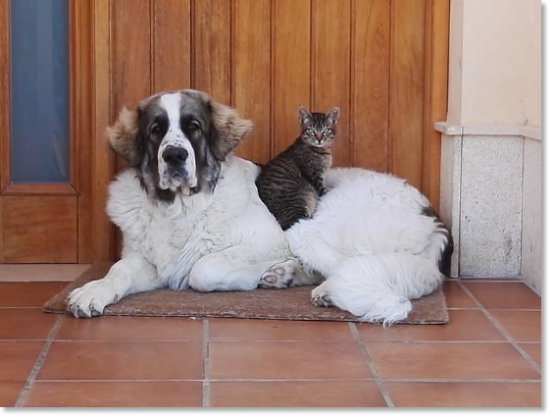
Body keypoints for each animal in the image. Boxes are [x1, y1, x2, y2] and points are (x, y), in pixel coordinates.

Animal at [66, 88, 452, 324]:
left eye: (194, 128)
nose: (174, 155)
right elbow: (119, 270)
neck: (181, 209)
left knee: (346, 266)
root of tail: (430, 216)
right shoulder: (144, 260)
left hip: (312, 225)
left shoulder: (265, 240)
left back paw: (312, 285)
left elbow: (202, 269)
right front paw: (91, 291)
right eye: (156, 130)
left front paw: (261, 275)